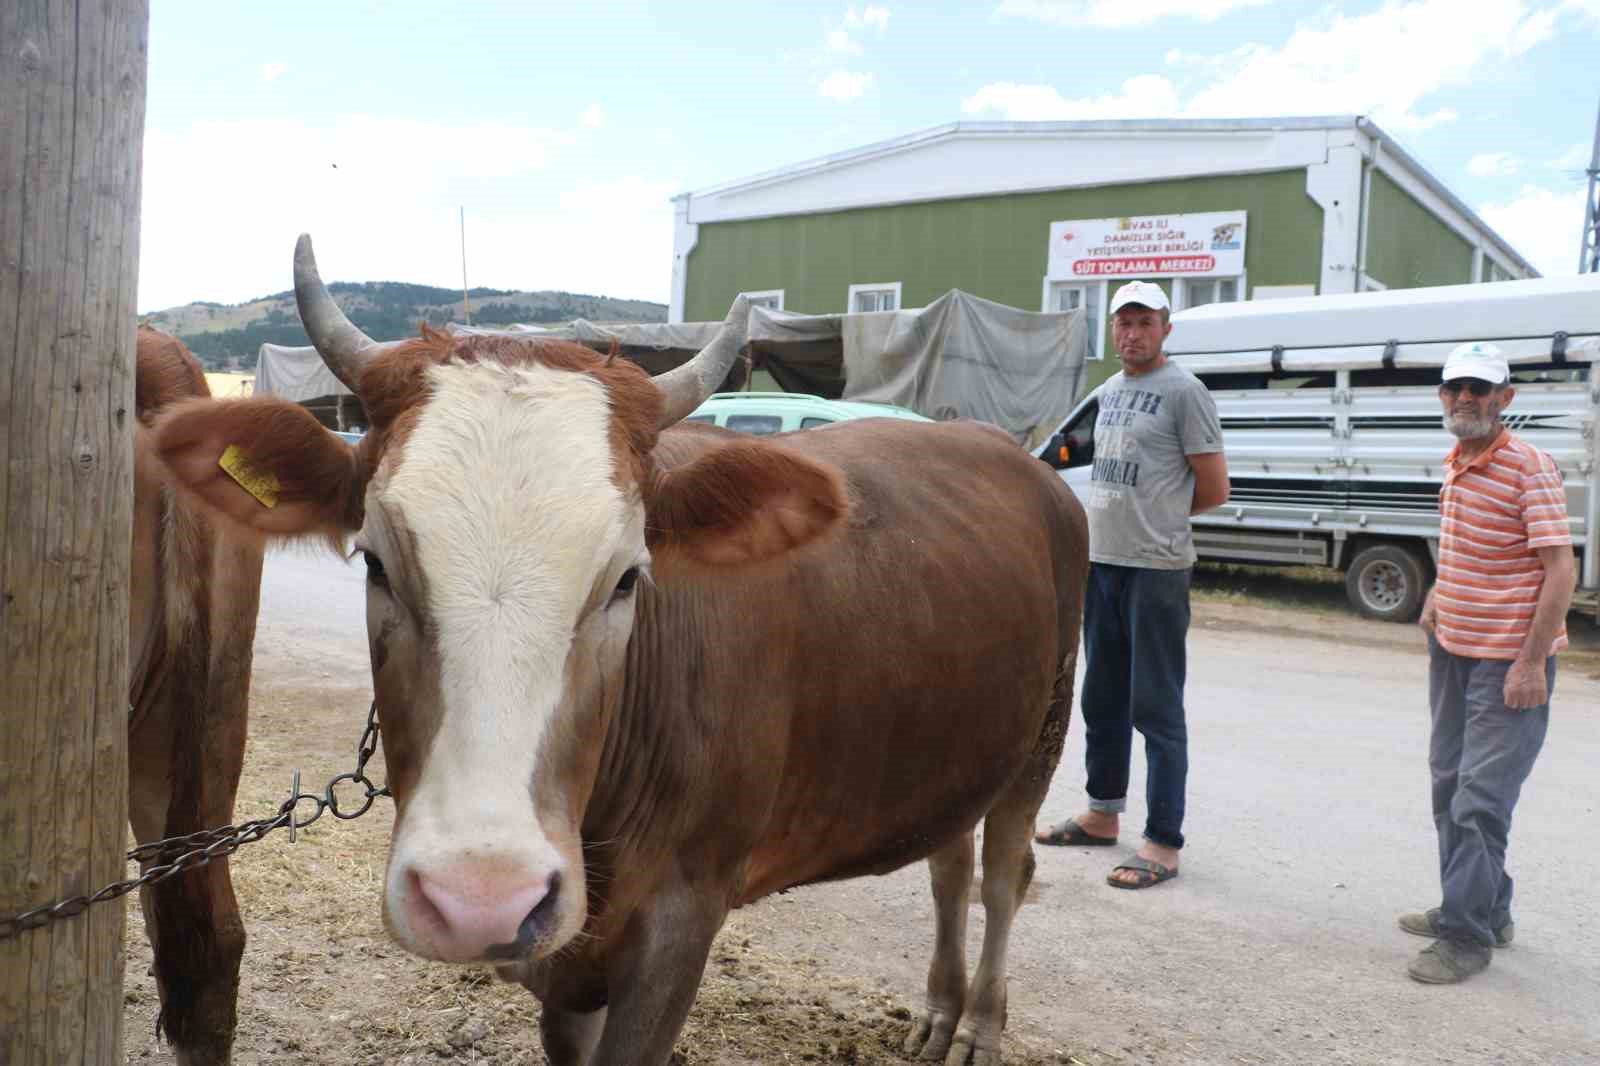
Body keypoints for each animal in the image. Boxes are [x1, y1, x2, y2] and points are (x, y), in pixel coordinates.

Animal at [152, 238, 1088, 1062]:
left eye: (629, 578)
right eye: (375, 562)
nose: (477, 901)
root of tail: (1011, 452)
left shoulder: (683, 918)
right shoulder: (562, 959)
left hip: (1048, 720)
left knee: (1004, 870)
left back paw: (979, 1025)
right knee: (949, 861)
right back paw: (937, 1012)